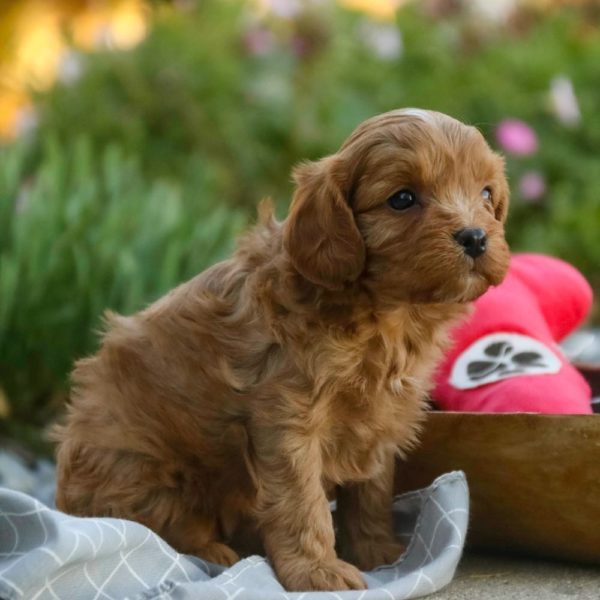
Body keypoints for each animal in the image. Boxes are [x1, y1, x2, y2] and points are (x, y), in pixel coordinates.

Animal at [52, 108, 510, 592]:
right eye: (402, 199)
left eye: (485, 193)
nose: (475, 237)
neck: (384, 315)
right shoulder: (287, 422)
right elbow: (302, 504)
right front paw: (318, 571)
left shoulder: (379, 421)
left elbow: (371, 491)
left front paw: (378, 554)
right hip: (142, 465)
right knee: (156, 528)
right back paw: (211, 550)